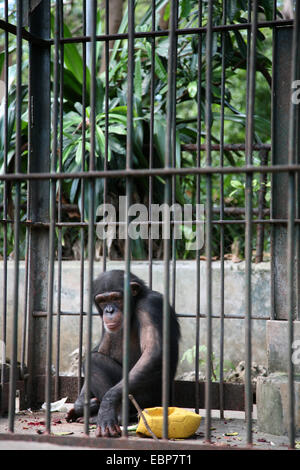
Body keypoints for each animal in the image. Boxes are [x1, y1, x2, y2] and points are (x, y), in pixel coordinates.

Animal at [67, 270, 179, 438]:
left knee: (93, 361)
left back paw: (117, 416)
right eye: (102, 301)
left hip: (147, 400)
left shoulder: (151, 306)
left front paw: (107, 405)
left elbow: (154, 352)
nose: (109, 310)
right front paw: (81, 403)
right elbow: (99, 347)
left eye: (115, 298)